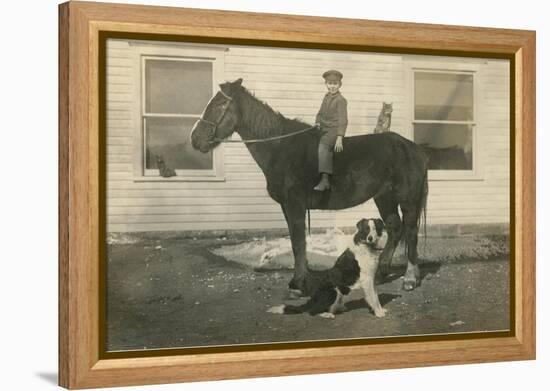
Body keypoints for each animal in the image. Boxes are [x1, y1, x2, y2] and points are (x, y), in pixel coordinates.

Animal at [194, 79, 432, 294]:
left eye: (219, 105)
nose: (195, 139)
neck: (280, 147)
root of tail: (413, 148)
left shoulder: (295, 204)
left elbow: (299, 243)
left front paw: (299, 283)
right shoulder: (286, 206)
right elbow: (295, 241)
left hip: (408, 199)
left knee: (410, 232)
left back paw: (410, 278)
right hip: (384, 198)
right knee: (395, 228)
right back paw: (382, 271)